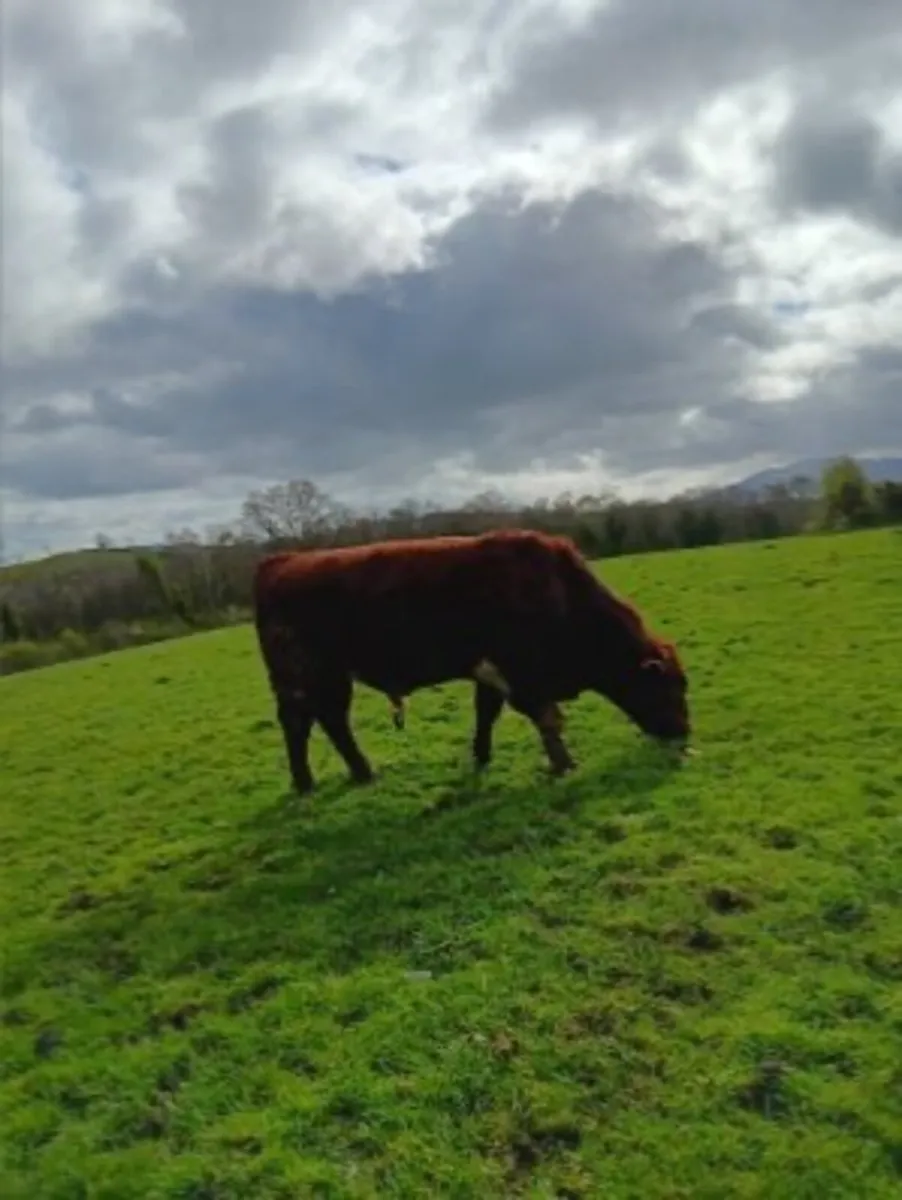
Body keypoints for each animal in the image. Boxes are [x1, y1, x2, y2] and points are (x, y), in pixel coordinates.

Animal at [251, 528, 691, 794]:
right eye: (670, 688)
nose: (684, 733)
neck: (561, 595)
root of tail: (282, 561)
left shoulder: (488, 672)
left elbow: (486, 714)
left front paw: (481, 755)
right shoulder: (522, 675)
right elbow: (548, 719)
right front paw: (564, 765)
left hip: (331, 678)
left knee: (331, 720)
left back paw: (359, 773)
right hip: (304, 676)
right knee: (300, 724)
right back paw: (307, 782)